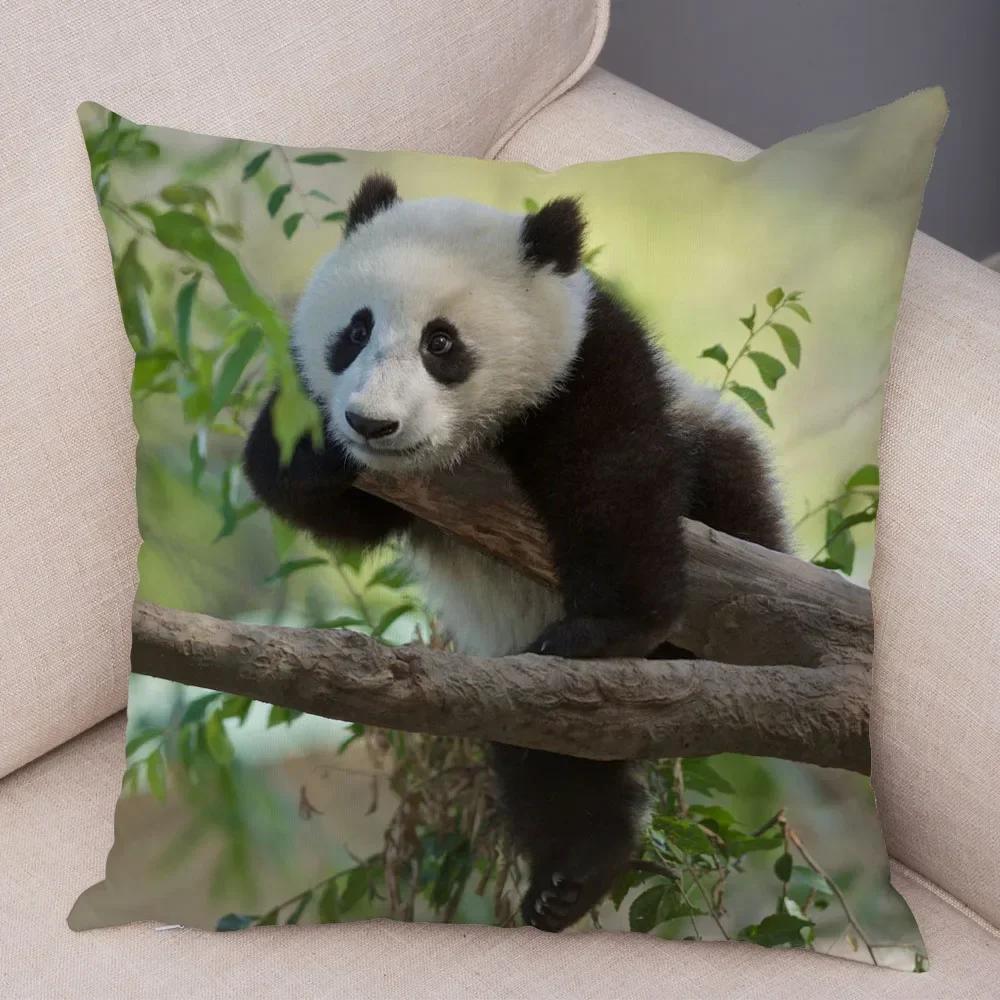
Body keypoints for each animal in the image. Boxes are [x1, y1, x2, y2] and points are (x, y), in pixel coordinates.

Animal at [243, 173, 789, 932]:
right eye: (355, 330)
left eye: (441, 342)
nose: (372, 423)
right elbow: (325, 500)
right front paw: (312, 447)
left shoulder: (589, 360)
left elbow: (611, 473)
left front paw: (606, 627)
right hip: (516, 683)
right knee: (551, 753)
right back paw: (571, 874)